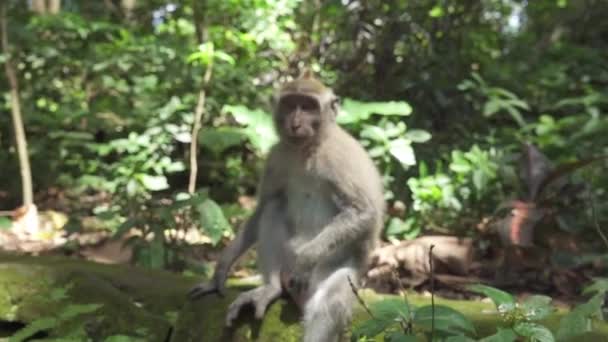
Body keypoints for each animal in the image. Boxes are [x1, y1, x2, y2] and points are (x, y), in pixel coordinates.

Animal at [189, 70, 384, 342]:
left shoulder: (337, 158)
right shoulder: (276, 157)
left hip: (336, 274)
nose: (296, 121)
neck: (307, 148)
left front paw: (306, 259)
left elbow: (362, 212)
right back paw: (270, 288)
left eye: (309, 106)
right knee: (273, 208)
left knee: (329, 302)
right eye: (291, 104)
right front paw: (220, 272)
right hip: (285, 269)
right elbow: (262, 208)